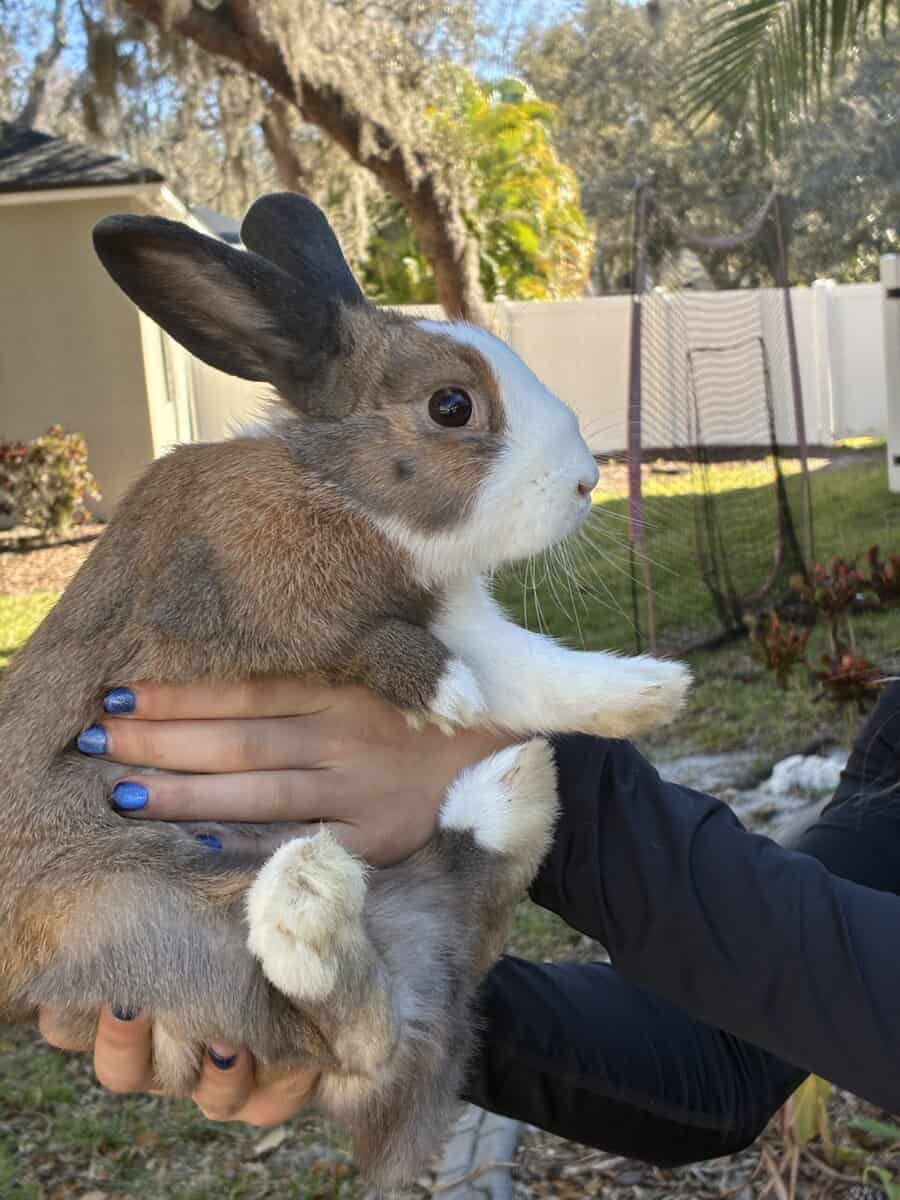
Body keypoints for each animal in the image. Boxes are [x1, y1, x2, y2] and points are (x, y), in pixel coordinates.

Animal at [0, 193, 690, 1189]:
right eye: (451, 406)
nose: (585, 482)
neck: (338, 491)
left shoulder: (465, 617)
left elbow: (535, 671)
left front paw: (650, 690)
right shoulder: (234, 623)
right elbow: (375, 648)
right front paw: (445, 694)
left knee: (436, 945)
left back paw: (496, 798)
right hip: (137, 910)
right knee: (349, 1038)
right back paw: (308, 903)